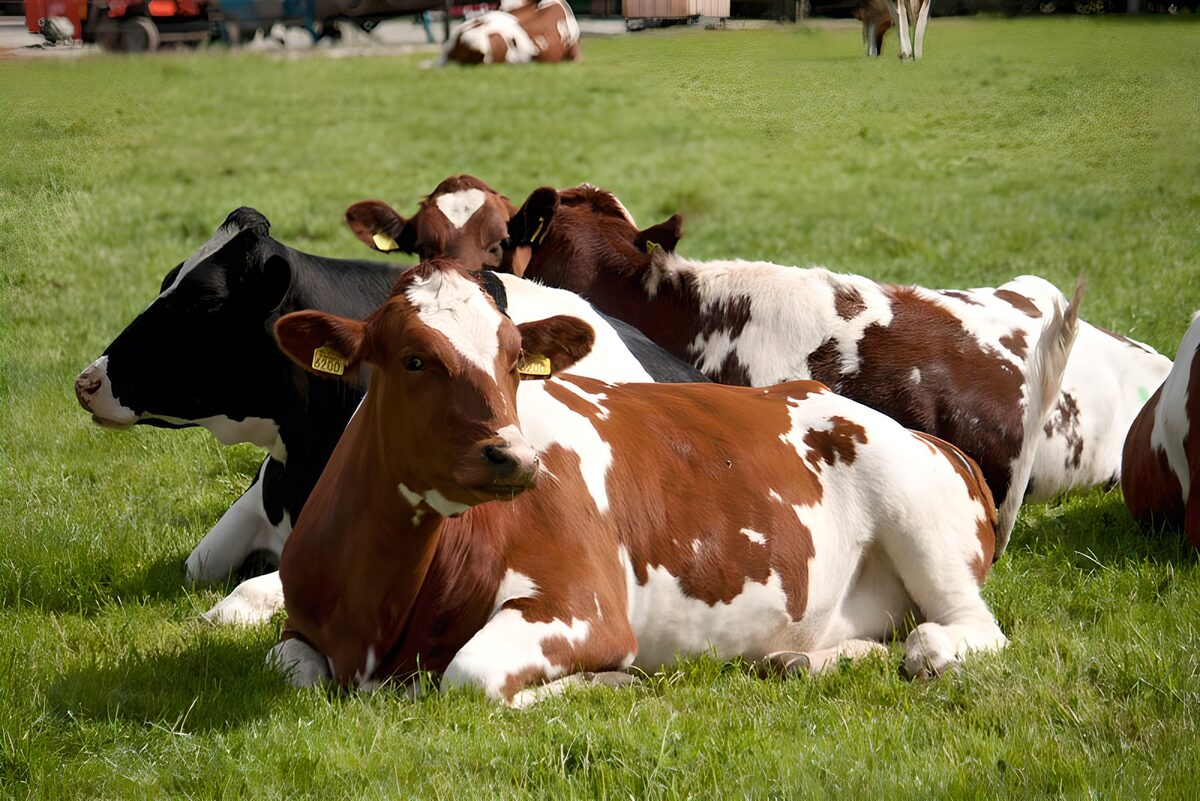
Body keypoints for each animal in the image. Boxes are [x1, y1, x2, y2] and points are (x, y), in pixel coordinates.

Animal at [74, 206, 706, 624]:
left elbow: (244, 597)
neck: (306, 458)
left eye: (202, 302)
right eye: (167, 281)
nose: (87, 381)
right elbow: (198, 562)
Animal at [268, 259, 1078, 704]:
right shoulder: (304, 630)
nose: (516, 458)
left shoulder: (585, 607)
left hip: (920, 519)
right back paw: (808, 658)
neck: (383, 609)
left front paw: (609, 682)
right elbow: (287, 662)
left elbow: (466, 677)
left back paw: (924, 650)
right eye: (413, 359)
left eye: (511, 360)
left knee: (964, 629)